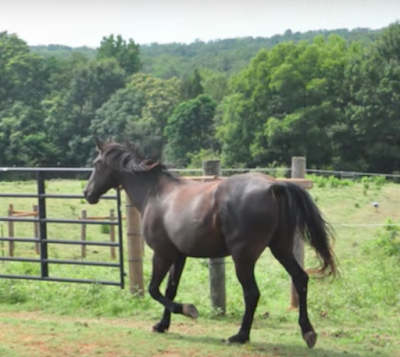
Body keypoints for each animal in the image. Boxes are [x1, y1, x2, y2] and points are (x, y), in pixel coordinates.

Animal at [84, 137, 338, 348]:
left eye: (96, 164)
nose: (87, 193)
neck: (155, 194)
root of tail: (273, 186)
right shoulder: (179, 255)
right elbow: (170, 289)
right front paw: (162, 325)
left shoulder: (162, 253)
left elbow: (154, 289)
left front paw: (188, 310)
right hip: (280, 248)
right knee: (300, 278)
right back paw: (308, 332)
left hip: (243, 257)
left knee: (252, 293)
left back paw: (240, 336)